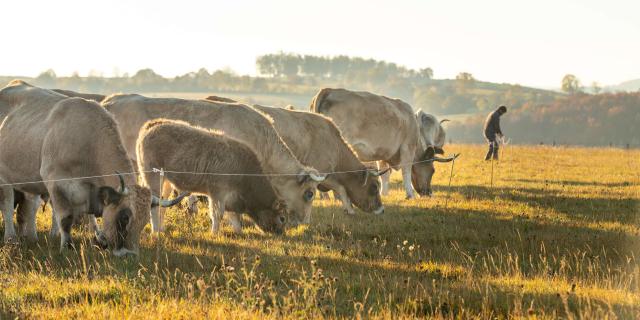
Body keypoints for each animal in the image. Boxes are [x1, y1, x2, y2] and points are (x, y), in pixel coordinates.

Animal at [0, 80, 184, 255]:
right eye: (124, 218)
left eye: (144, 221)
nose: (129, 255)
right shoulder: (55, 184)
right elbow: (65, 218)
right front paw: (66, 246)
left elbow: (91, 217)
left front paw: (99, 238)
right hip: (5, 179)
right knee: (7, 205)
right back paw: (11, 238)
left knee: (29, 206)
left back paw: (31, 237)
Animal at [141, 119, 294, 234]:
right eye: (282, 218)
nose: (281, 233)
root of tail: (154, 124)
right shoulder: (217, 193)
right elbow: (217, 214)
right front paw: (215, 233)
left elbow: (234, 217)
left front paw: (239, 232)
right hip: (152, 177)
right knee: (154, 205)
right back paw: (155, 231)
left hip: (166, 181)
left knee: (162, 204)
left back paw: (161, 229)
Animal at [308, 87, 456, 198]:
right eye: (432, 171)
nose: (428, 193)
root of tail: (328, 90)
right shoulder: (407, 147)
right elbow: (406, 171)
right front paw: (410, 195)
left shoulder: (382, 154)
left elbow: (384, 175)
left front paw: (384, 194)